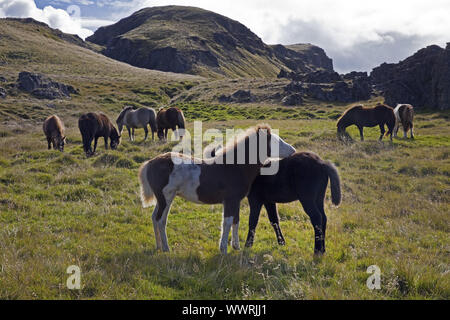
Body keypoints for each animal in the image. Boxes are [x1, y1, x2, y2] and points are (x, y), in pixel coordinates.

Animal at [139, 124, 298, 254]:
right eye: (275, 141)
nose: (293, 150)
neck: (235, 167)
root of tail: (150, 163)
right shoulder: (230, 200)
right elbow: (227, 222)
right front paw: (223, 249)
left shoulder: (236, 201)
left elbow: (235, 221)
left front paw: (236, 246)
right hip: (166, 198)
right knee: (161, 220)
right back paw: (166, 248)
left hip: (162, 199)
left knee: (154, 218)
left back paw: (158, 246)